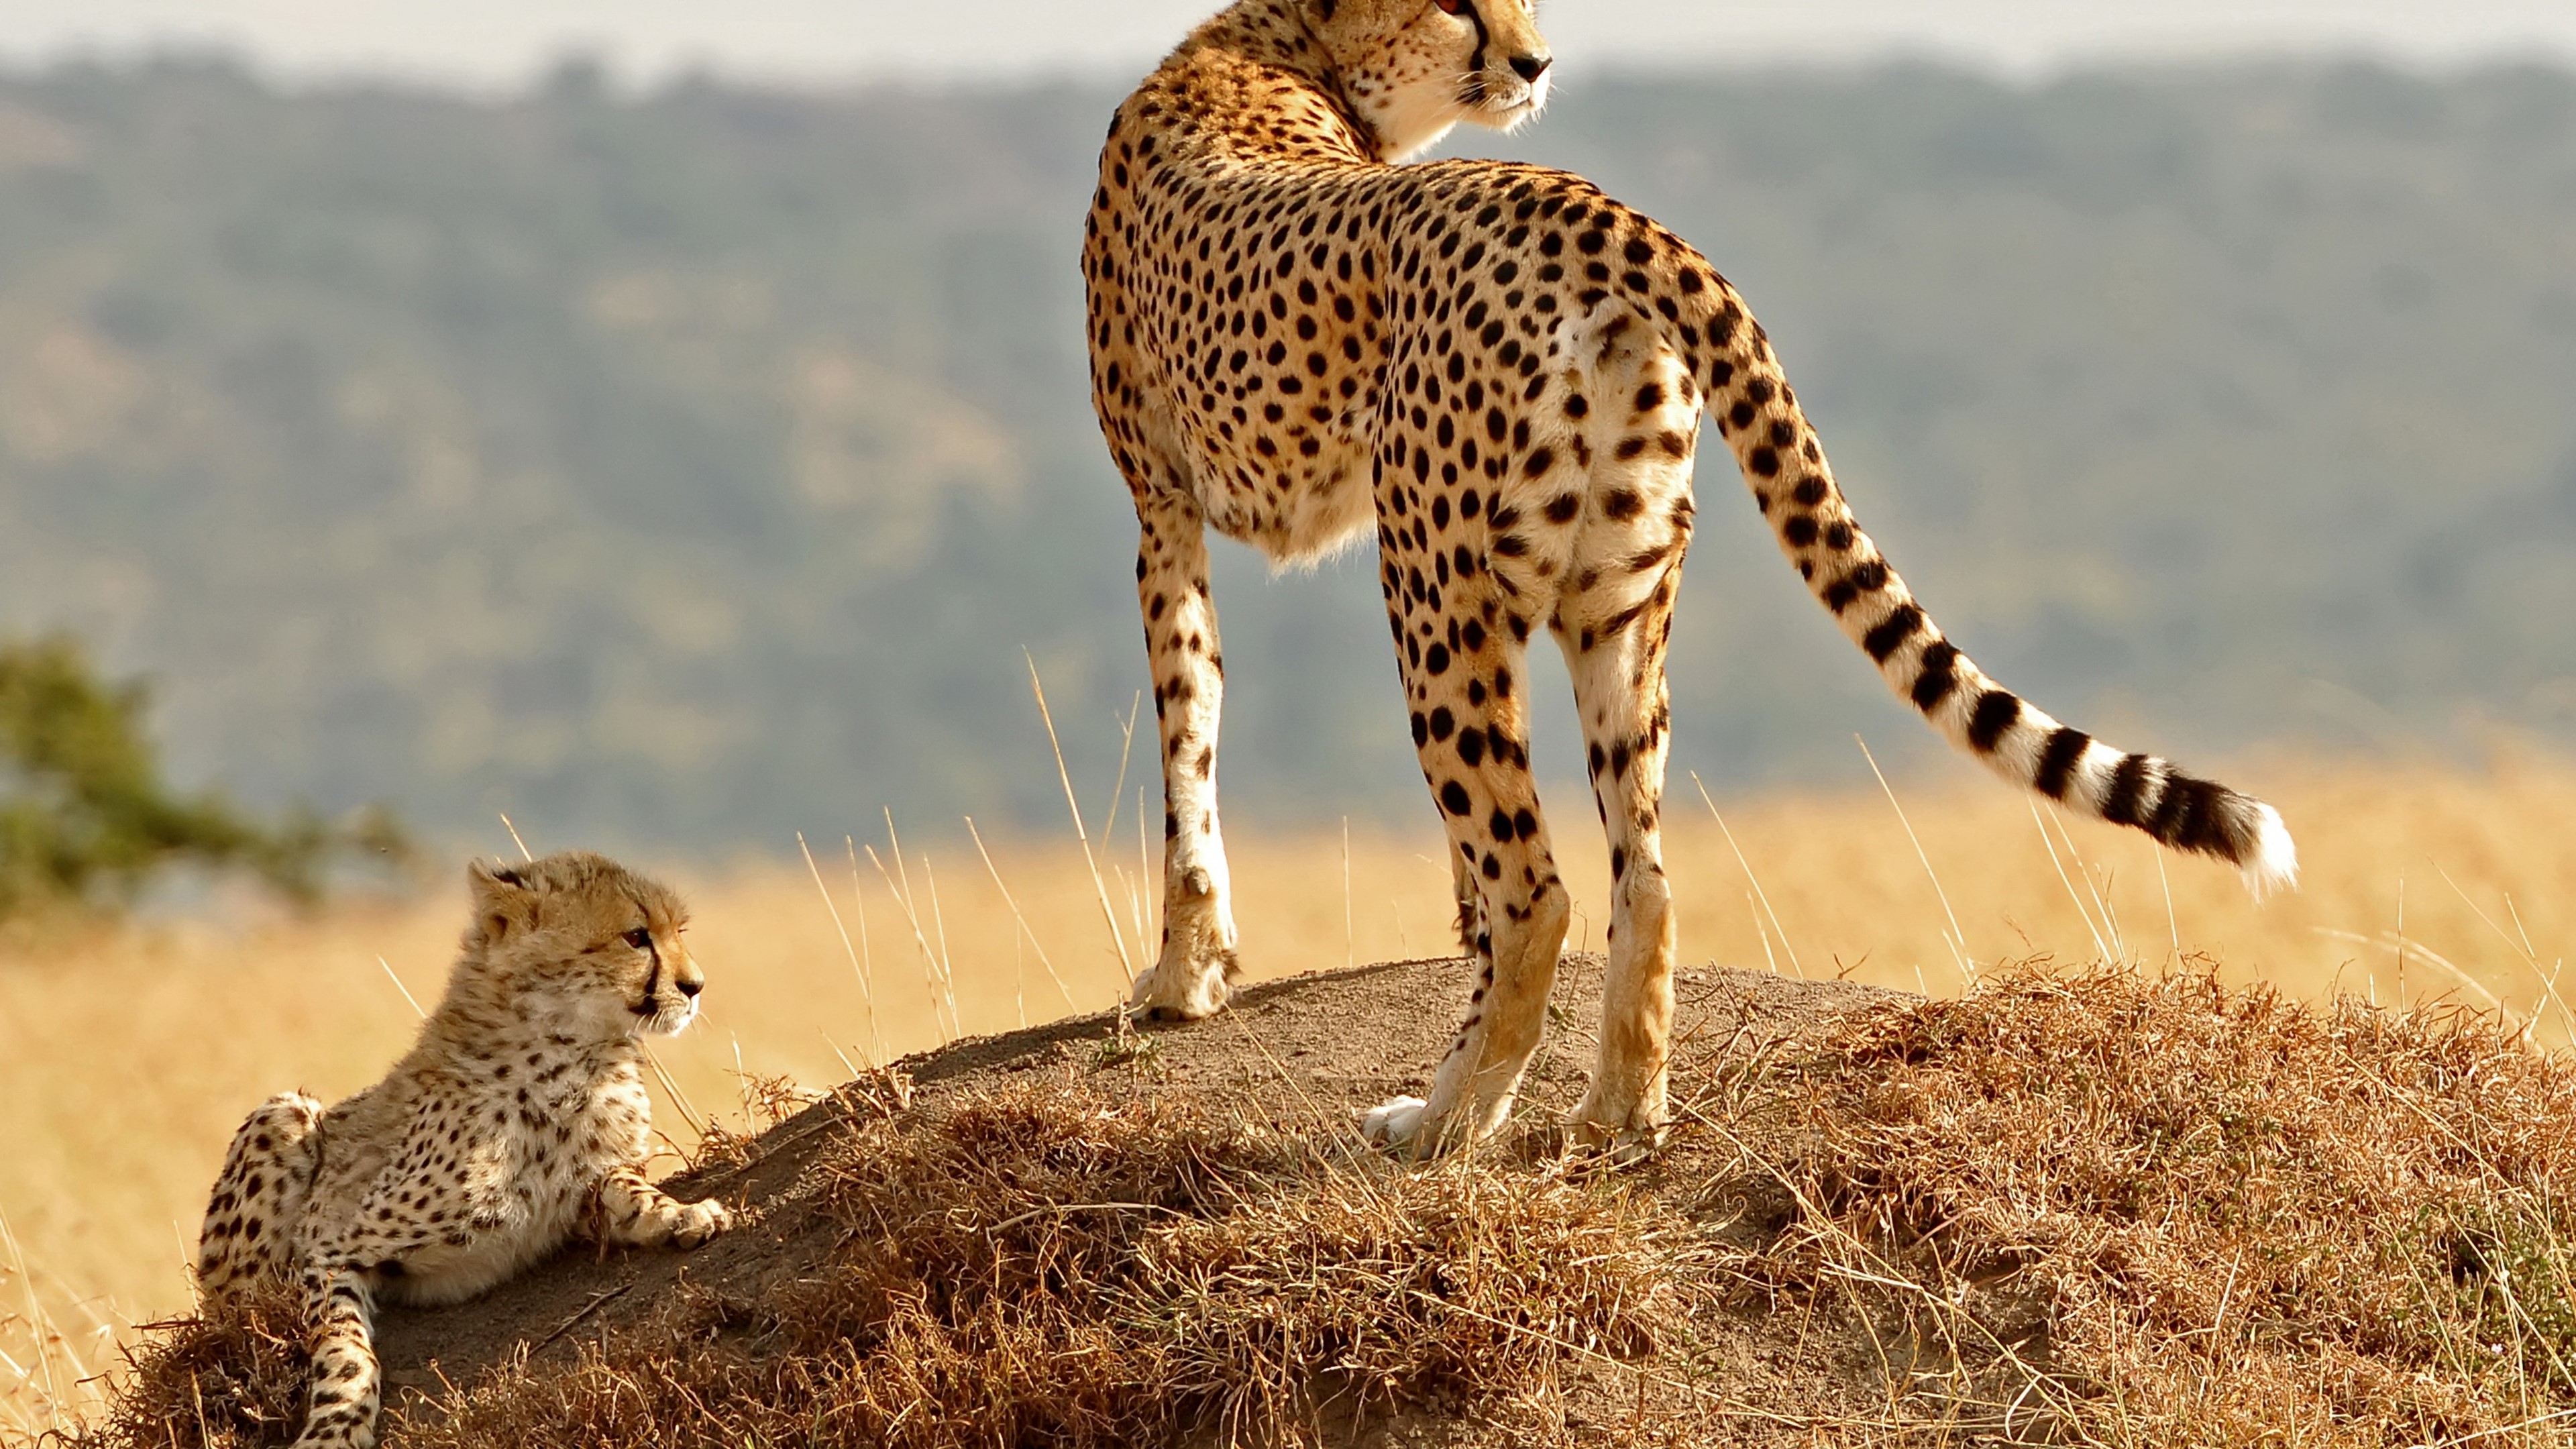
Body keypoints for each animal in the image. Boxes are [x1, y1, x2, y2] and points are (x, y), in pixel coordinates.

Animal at [193, 850, 733, 1449]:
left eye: (678, 931)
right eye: (636, 936)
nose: (696, 986)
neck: (571, 1058)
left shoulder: (577, 1197)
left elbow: (626, 1188)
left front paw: (683, 1213)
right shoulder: (326, 1246)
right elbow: (347, 1349)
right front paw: (336, 1425)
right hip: (284, 1114)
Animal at [1081, 0, 2299, 1159]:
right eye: (1459, 2)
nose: (1535, 64)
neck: (1279, 45)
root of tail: (1578, 200)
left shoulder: (1161, 510)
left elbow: (1187, 730)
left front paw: (1182, 975)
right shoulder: (1176, 508)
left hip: (1434, 591)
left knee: (1539, 889)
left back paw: (1445, 1123)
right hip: (1615, 605)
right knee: (1646, 879)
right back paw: (1621, 1113)